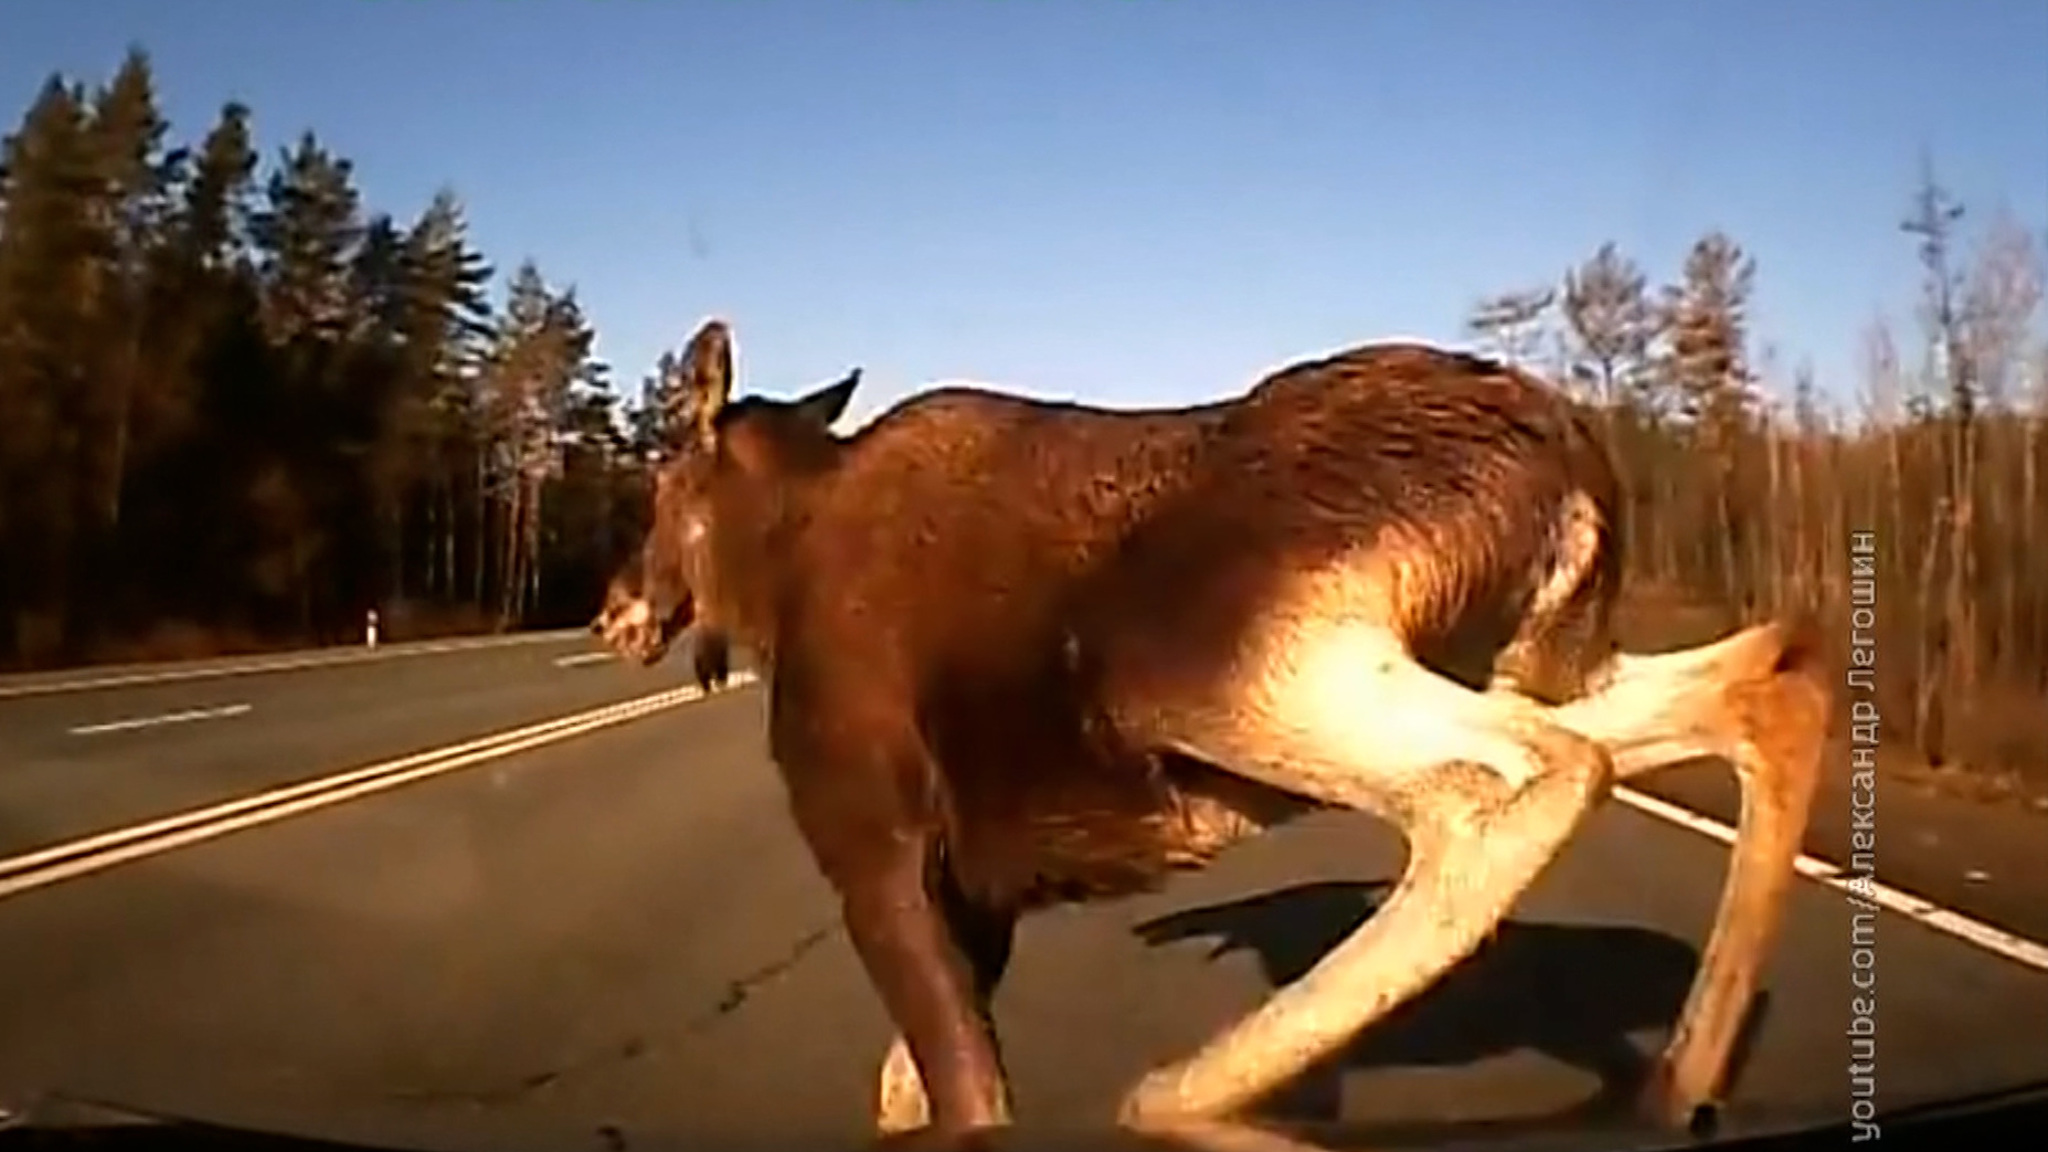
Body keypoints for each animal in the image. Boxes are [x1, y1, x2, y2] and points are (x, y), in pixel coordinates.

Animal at [592, 318, 1829, 1151]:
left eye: (656, 485)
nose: (610, 611)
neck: (770, 577)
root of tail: (1569, 465)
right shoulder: (979, 888)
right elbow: (910, 1087)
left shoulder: (870, 840)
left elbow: (958, 1086)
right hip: (1530, 656)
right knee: (1767, 676)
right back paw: (1680, 1085)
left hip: (1197, 670)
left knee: (1520, 778)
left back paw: (1178, 1097)